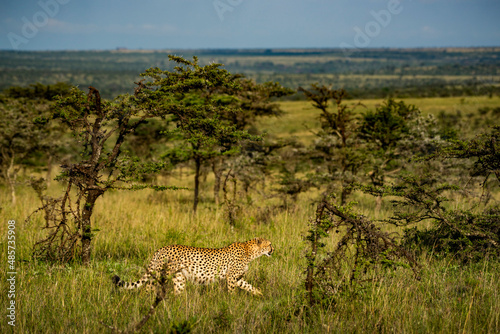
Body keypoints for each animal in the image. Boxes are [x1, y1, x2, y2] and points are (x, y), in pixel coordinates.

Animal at [112, 237, 274, 294]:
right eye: (269, 244)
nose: (273, 250)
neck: (249, 251)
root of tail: (162, 247)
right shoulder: (232, 277)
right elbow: (232, 291)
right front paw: (232, 303)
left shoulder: (238, 278)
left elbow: (250, 287)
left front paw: (260, 295)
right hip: (161, 273)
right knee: (148, 286)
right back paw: (146, 301)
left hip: (179, 278)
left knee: (177, 292)